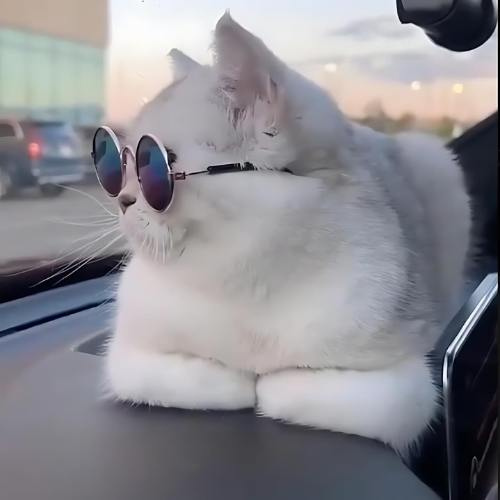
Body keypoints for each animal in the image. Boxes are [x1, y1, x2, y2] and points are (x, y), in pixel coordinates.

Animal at [105, 12, 471, 455]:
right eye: (119, 164)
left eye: (156, 162)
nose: (123, 199)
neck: (242, 279)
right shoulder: (128, 353)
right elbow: (190, 380)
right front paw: (233, 378)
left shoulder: (403, 381)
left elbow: (290, 389)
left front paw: (269, 382)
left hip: (438, 165)